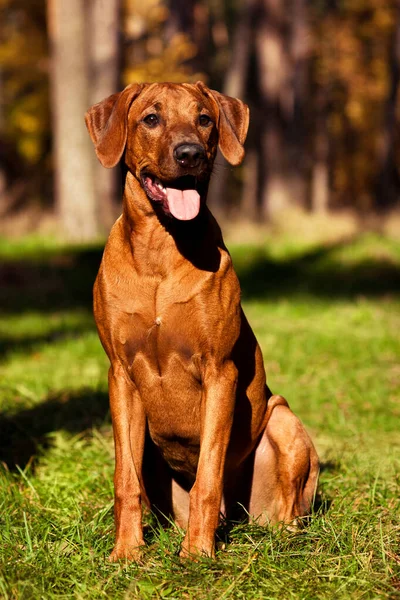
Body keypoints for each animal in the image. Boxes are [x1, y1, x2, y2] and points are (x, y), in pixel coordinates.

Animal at [85, 82, 318, 560]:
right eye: (151, 118)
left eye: (205, 118)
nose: (190, 153)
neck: (161, 250)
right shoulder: (120, 374)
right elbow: (124, 479)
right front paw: (127, 553)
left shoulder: (220, 372)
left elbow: (208, 475)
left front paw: (196, 554)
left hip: (283, 419)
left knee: (288, 509)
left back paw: (282, 538)